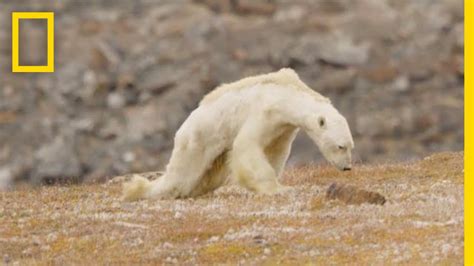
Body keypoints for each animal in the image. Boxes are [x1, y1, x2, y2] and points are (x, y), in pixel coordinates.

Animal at [122, 67, 352, 201]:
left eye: (350, 146)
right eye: (340, 146)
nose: (347, 167)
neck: (287, 94)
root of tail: (182, 128)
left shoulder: (284, 128)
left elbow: (275, 152)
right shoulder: (264, 111)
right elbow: (246, 145)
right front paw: (277, 189)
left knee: (207, 178)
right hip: (197, 140)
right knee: (181, 177)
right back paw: (138, 190)